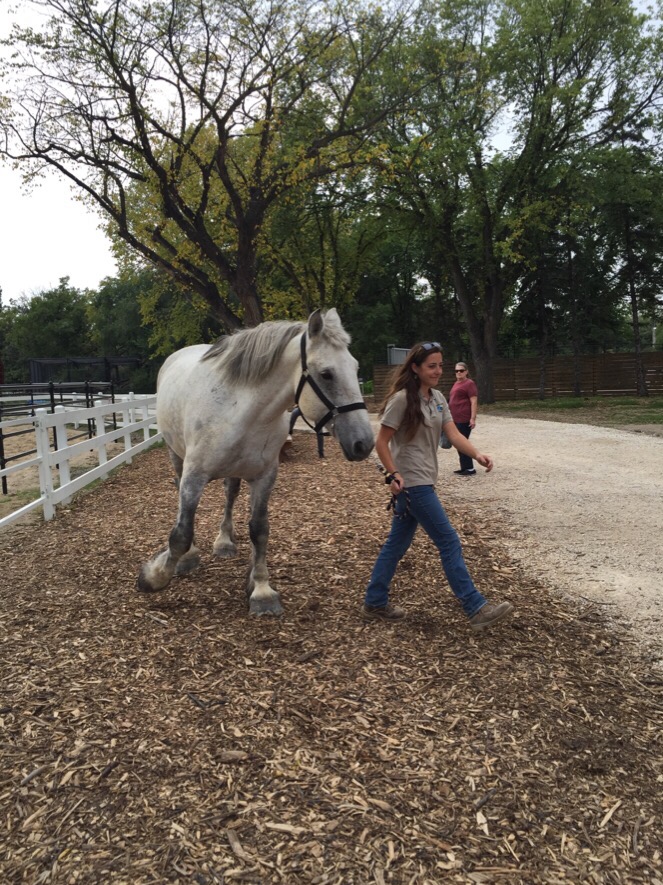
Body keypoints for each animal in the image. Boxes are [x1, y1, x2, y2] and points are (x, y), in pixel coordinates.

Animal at [137, 309, 374, 615]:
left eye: (355, 369)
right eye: (326, 374)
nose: (364, 443)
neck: (239, 410)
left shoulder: (264, 477)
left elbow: (259, 530)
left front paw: (261, 590)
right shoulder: (194, 476)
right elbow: (181, 533)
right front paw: (155, 577)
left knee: (230, 494)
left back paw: (225, 541)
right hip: (175, 455)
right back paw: (189, 556)